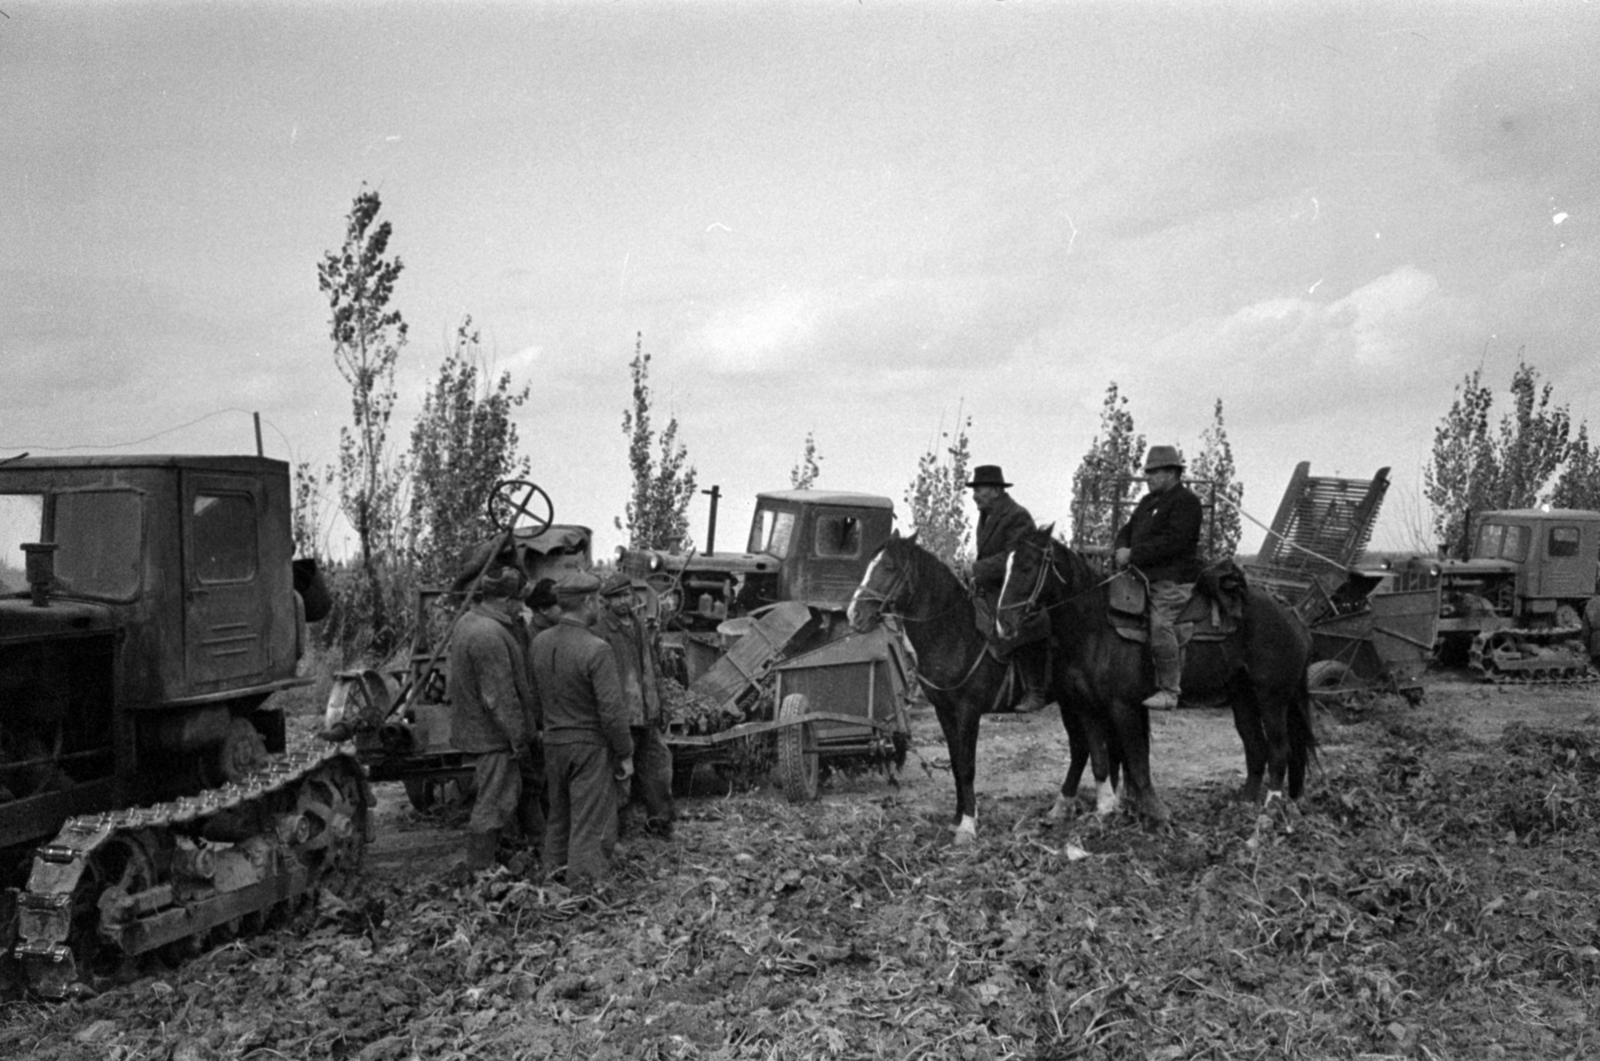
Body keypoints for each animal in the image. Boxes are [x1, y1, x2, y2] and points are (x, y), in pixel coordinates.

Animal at [844, 531, 1120, 844]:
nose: (853, 615)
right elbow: (955, 763)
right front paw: (956, 820)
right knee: (1080, 747)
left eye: (889, 567)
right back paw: (1060, 808)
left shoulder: (968, 712)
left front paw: (967, 825)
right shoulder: (945, 712)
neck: (953, 632)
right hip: (1069, 702)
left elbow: (967, 766)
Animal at [998, 524, 1312, 812]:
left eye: (1027, 565)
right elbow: (1099, 760)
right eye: (1007, 565)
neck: (1095, 625)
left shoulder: (1123, 706)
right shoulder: (1088, 707)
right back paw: (1245, 804)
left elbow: (1136, 761)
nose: (1003, 622)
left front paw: (1153, 812)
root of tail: (1291, 614)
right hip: (1243, 695)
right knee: (1255, 747)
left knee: (1279, 748)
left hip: (1272, 696)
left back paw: (1271, 808)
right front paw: (1104, 813)